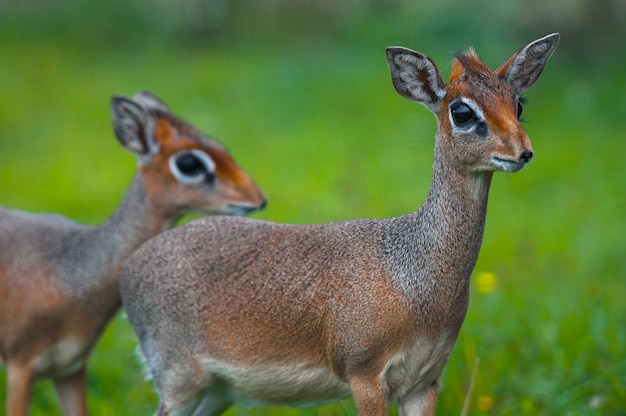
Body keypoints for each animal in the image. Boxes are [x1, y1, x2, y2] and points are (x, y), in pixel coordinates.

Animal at [0, 89, 266, 414]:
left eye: (220, 147)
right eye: (189, 163)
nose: (258, 198)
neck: (73, 272)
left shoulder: (70, 368)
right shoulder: (20, 365)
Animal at [119, 33, 560, 416]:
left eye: (518, 104)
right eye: (462, 111)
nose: (523, 152)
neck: (416, 278)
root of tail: (130, 266)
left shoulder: (424, 382)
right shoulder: (364, 375)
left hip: (216, 393)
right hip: (180, 382)